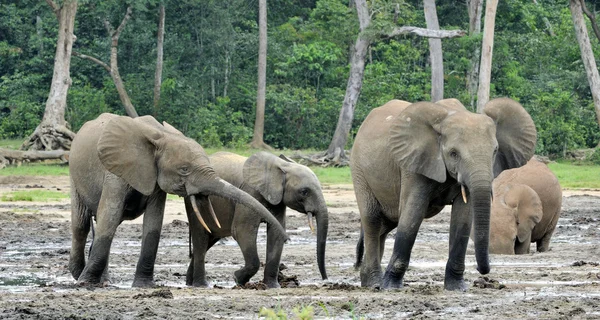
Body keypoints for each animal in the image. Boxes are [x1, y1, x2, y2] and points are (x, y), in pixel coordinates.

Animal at [68, 113, 288, 288]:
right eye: (184, 169)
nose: (287, 238)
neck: (161, 136)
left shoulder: (155, 176)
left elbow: (154, 223)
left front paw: (144, 286)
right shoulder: (116, 170)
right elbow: (110, 217)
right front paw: (85, 284)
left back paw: (103, 281)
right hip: (74, 176)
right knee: (82, 225)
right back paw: (80, 276)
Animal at [186, 151, 330, 288]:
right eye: (304, 191)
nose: (325, 280)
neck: (283, 166)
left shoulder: (277, 200)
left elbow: (276, 234)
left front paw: (272, 286)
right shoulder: (250, 192)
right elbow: (242, 230)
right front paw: (237, 279)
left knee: (208, 240)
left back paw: (189, 283)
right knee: (201, 239)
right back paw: (201, 285)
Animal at [350, 97, 536, 290]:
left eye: (495, 151)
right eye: (453, 153)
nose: (483, 271)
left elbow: (463, 219)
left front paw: (457, 287)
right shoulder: (414, 164)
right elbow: (412, 214)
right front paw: (392, 286)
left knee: (385, 225)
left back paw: (370, 281)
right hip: (359, 170)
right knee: (372, 220)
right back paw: (374, 283)